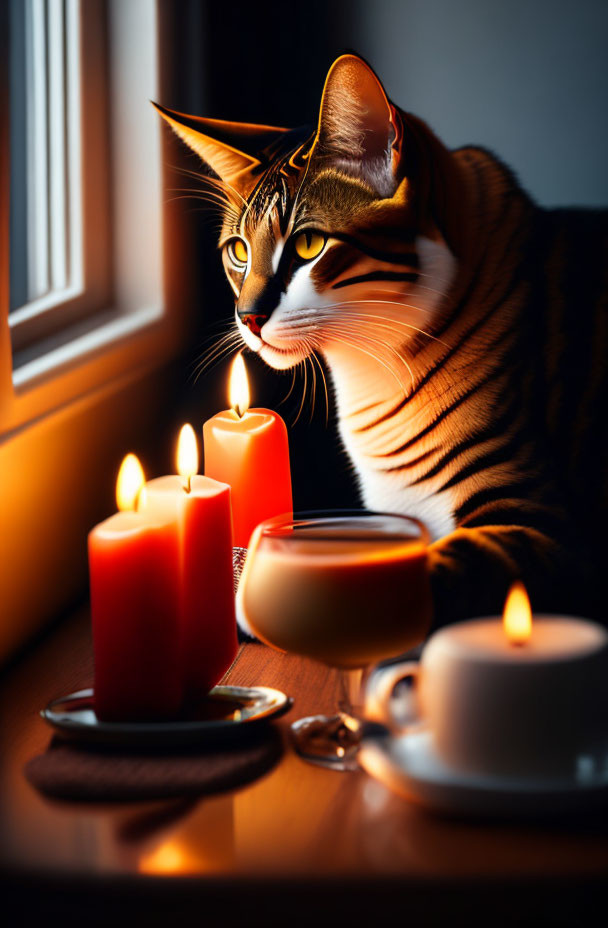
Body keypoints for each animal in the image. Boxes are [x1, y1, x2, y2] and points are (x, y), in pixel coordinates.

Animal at [154, 54, 608, 628]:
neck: (370, 375)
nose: (248, 316)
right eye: (238, 251)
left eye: (309, 244)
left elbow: (426, 569)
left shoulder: (539, 523)